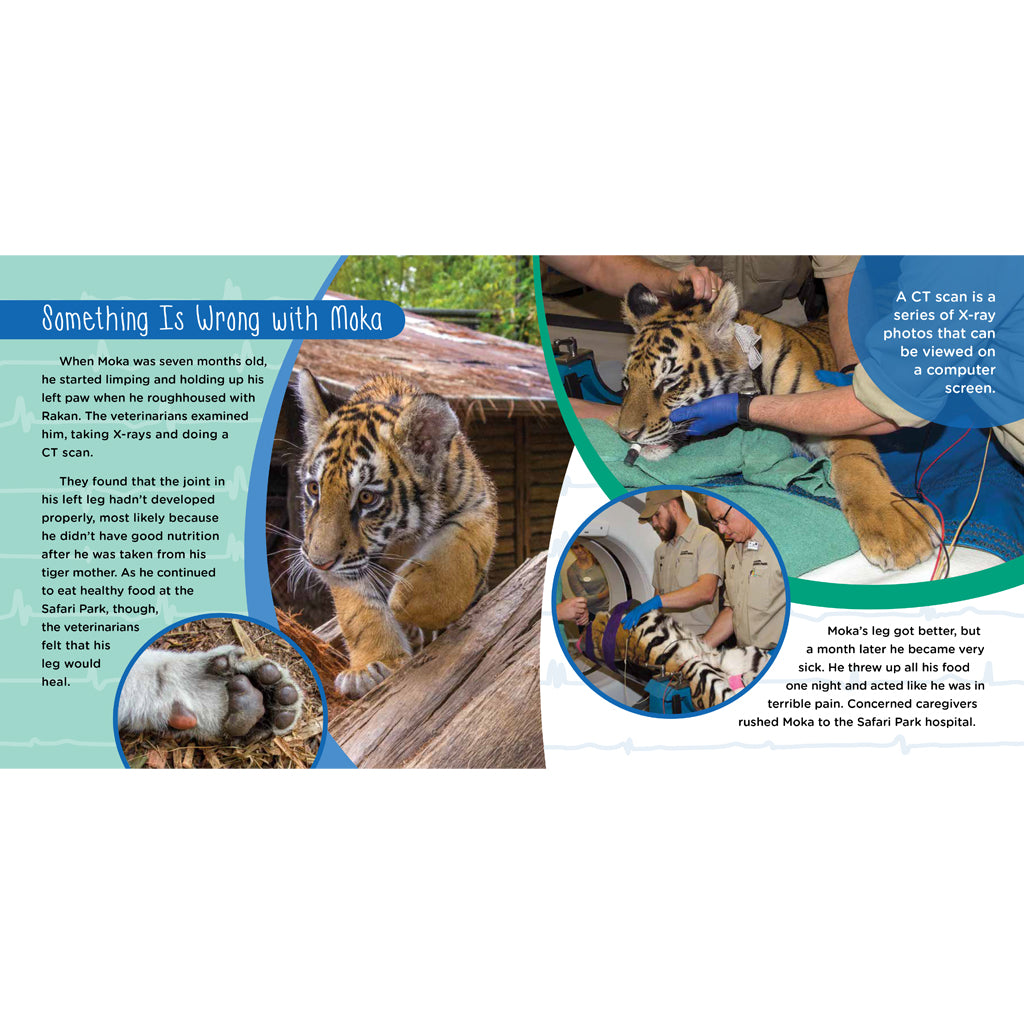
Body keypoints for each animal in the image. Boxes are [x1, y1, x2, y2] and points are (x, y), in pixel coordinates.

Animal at [295, 370, 498, 697]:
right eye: (314, 489)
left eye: (367, 498)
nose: (318, 564)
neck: (401, 540)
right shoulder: (346, 563)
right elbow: (360, 613)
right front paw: (371, 667)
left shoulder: (478, 506)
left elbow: (456, 560)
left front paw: (405, 600)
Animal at [616, 280, 940, 571]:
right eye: (626, 382)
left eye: (669, 382)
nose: (625, 434)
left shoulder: (826, 411)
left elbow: (856, 465)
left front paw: (898, 530)